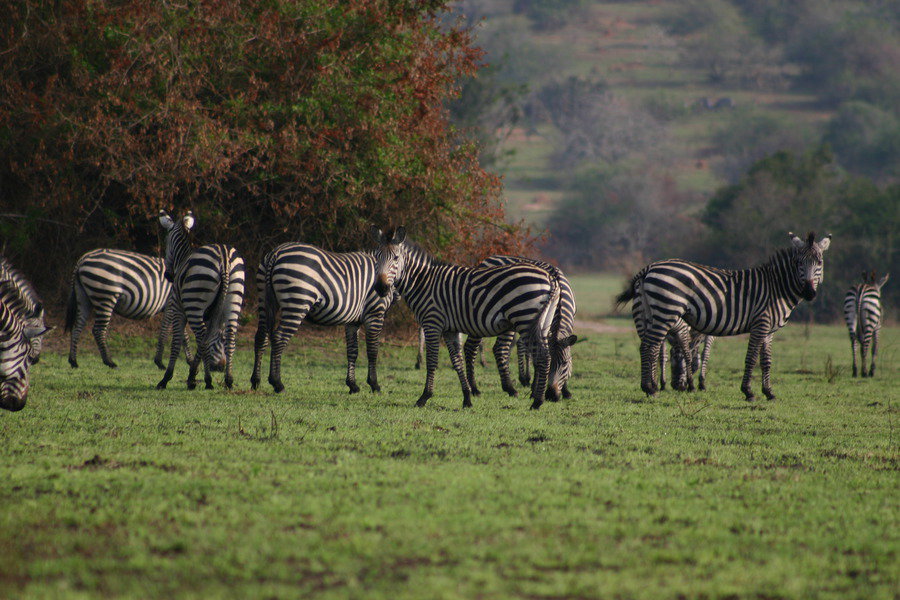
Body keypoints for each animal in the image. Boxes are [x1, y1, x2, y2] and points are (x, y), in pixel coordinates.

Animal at [156, 211, 245, 390]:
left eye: (166, 241)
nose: (168, 275)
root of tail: (224, 256)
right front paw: (193, 373)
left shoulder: (178, 308)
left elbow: (178, 341)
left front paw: (168, 378)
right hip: (234, 297)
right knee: (229, 334)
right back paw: (228, 380)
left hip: (194, 303)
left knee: (202, 335)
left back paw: (209, 381)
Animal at [251, 242, 396, 394]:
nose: (382, 289)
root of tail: (276, 252)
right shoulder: (375, 313)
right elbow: (373, 350)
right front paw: (374, 385)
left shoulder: (353, 321)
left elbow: (352, 351)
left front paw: (353, 385)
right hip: (297, 303)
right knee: (279, 338)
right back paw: (277, 383)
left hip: (263, 299)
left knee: (261, 337)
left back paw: (255, 381)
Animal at [371, 227, 561, 410]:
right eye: (376, 257)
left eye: (396, 258)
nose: (380, 288)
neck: (423, 282)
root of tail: (550, 277)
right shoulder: (450, 330)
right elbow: (457, 362)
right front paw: (467, 398)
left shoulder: (432, 323)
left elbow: (432, 361)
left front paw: (424, 397)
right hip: (542, 322)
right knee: (545, 355)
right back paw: (537, 398)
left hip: (525, 318)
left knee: (541, 356)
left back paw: (537, 401)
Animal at [463, 255, 577, 402]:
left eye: (564, 364)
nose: (551, 395)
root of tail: (490, 258)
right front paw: (534, 390)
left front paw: (565, 391)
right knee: (474, 347)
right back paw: (476, 388)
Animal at [616, 231, 831, 401]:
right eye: (798, 263)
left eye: (819, 262)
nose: (809, 293)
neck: (776, 287)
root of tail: (650, 267)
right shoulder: (760, 323)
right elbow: (751, 358)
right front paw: (748, 392)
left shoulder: (769, 331)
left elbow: (766, 361)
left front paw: (769, 392)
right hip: (666, 311)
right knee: (651, 347)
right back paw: (650, 389)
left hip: (648, 314)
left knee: (645, 346)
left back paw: (650, 387)